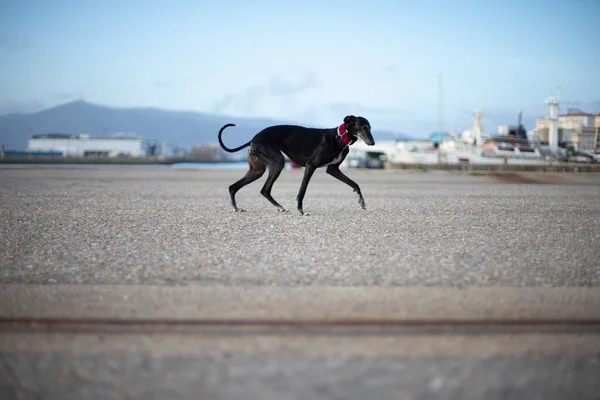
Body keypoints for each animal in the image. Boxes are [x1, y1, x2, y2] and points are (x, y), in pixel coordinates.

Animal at [216, 115, 376, 216]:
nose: (373, 143)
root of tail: (253, 138)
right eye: (363, 127)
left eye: (370, 127)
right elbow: (302, 191)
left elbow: (355, 184)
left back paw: (236, 208)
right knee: (265, 189)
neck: (339, 137)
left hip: (257, 170)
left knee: (233, 187)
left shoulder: (333, 170)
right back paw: (280, 208)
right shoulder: (310, 166)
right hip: (278, 162)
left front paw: (362, 202)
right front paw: (300, 210)